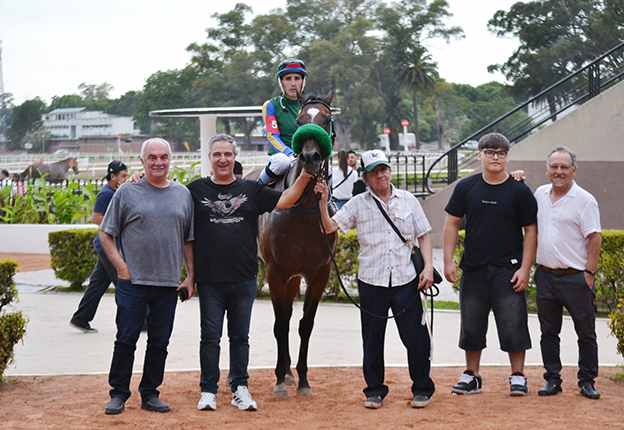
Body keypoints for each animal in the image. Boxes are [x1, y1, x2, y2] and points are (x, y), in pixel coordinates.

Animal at [252, 89, 338, 398]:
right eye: (300, 121)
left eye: (326, 119)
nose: (311, 157)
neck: (305, 209)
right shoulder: (275, 270)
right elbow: (279, 325)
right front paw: (278, 382)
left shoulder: (319, 273)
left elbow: (304, 325)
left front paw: (302, 381)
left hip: (293, 278)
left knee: (290, 316)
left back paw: (289, 373)